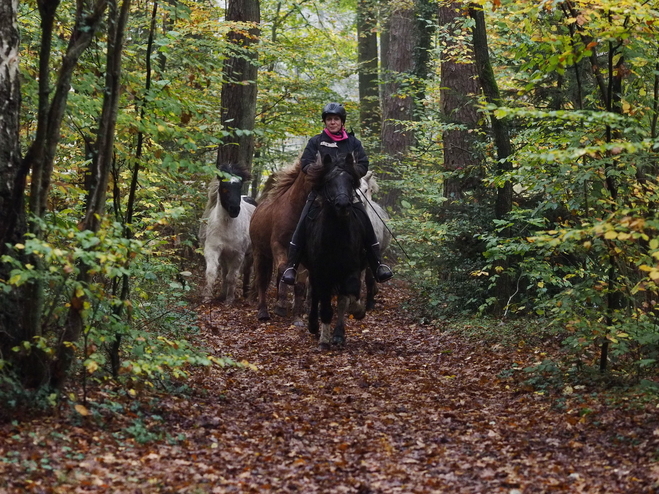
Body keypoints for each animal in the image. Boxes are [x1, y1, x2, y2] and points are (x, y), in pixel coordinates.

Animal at [199, 162, 255, 302]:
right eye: (224, 187)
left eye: (239, 187)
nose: (234, 210)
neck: (227, 227)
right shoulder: (213, 249)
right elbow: (212, 273)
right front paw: (207, 297)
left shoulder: (238, 254)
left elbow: (232, 276)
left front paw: (229, 300)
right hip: (225, 255)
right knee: (224, 272)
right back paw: (222, 294)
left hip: (250, 253)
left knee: (247, 271)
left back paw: (246, 293)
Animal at [302, 152, 366, 350]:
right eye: (329, 181)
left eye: (350, 180)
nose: (343, 205)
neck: (336, 238)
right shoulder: (321, 272)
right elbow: (325, 304)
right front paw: (324, 339)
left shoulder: (351, 269)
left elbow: (349, 293)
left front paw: (355, 312)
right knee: (315, 294)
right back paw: (314, 326)